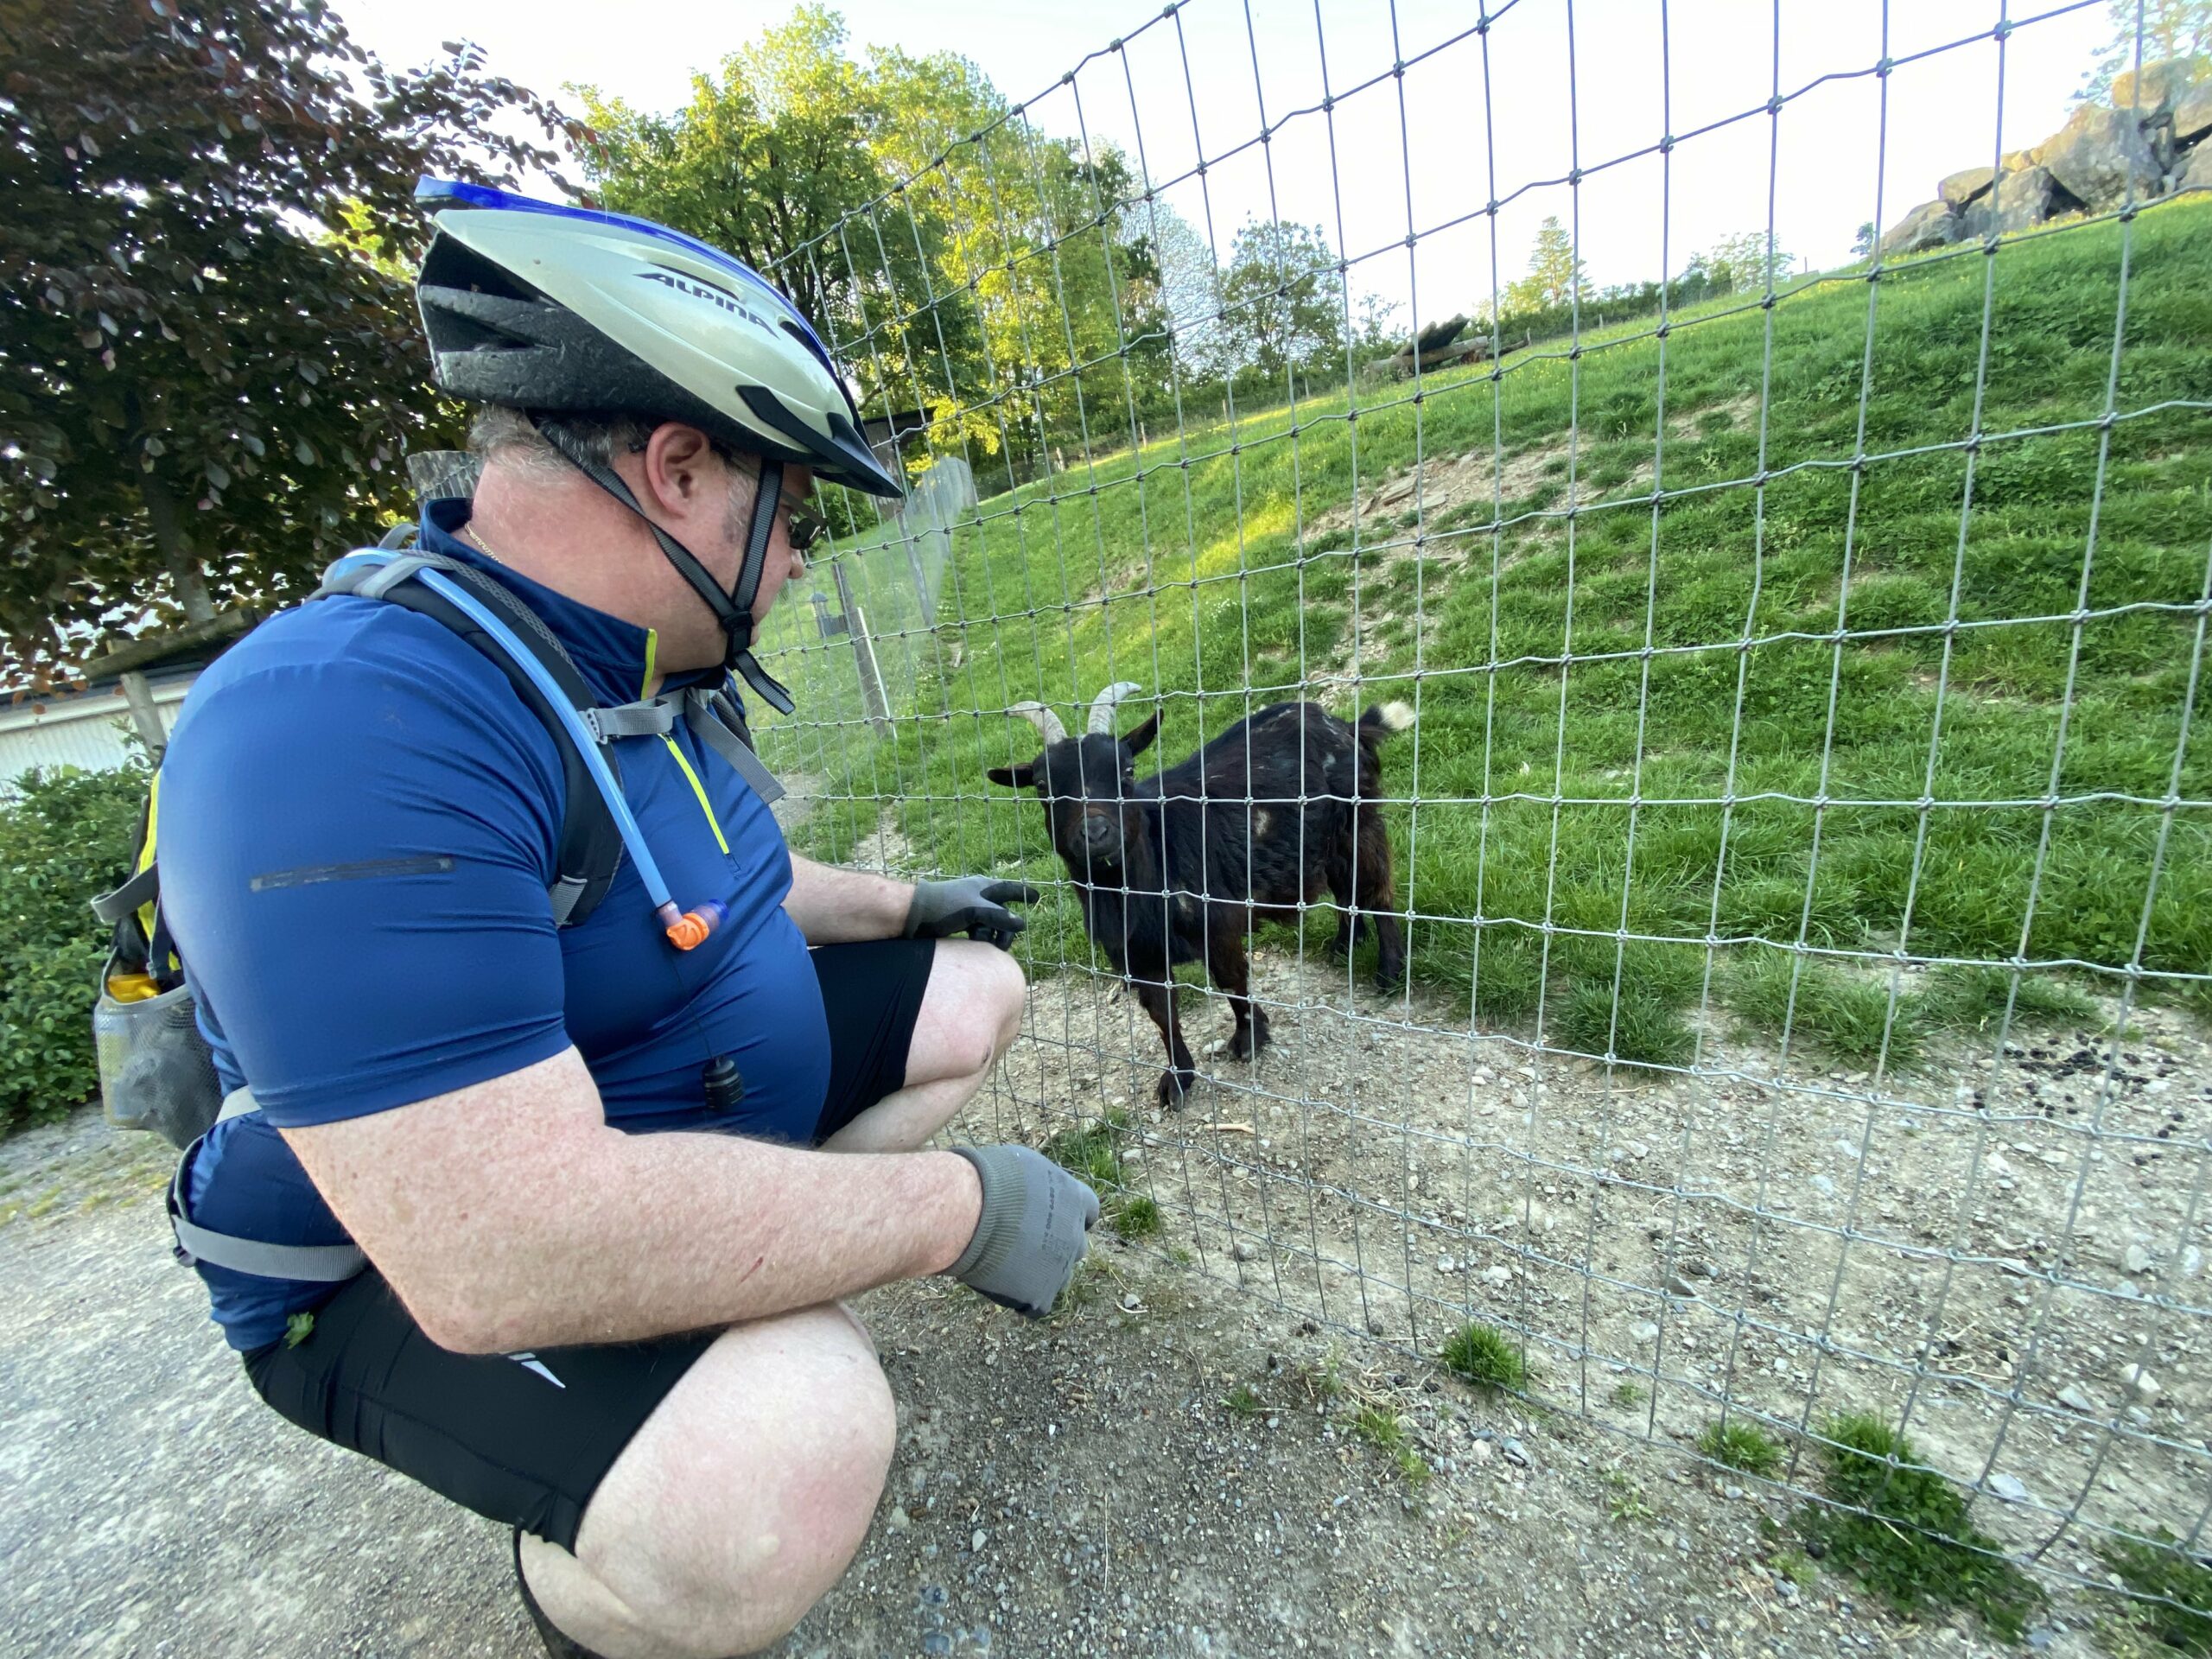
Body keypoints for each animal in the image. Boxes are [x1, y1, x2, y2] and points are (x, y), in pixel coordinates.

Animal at [986, 683, 1413, 1106]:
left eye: (1127, 771)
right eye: (1043, 786)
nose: (1096, 833)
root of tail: (1345, 725)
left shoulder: (1217, 925)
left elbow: (1231, 982)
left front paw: (1249, 1037)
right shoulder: (1137, 955)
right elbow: (1162, 1014)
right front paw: (1177, 1079)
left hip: (1358, 821)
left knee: (1376, 889)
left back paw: (1389, 972)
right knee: (1346, 888)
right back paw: (1345, 945)